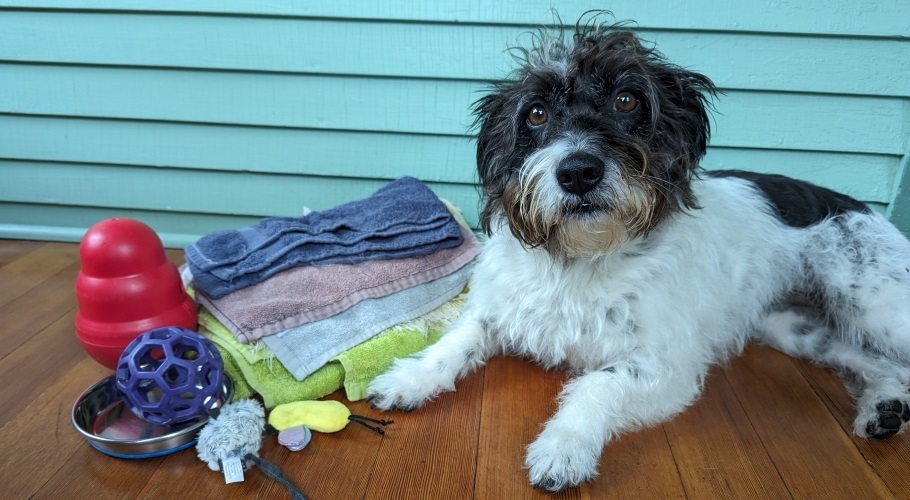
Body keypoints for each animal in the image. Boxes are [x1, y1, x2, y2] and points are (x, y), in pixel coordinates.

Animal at [366, 20, 910, 492]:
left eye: (626, 99)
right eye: (536, 113)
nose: (578, 172)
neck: (578, 261)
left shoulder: (666, 367)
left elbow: (598, 385)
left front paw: (564, 448)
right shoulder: (501, 309)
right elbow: (455, 342)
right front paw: (408, 379)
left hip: (878, 310)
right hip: (796, 328)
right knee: (883, 365)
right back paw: (884, 408)